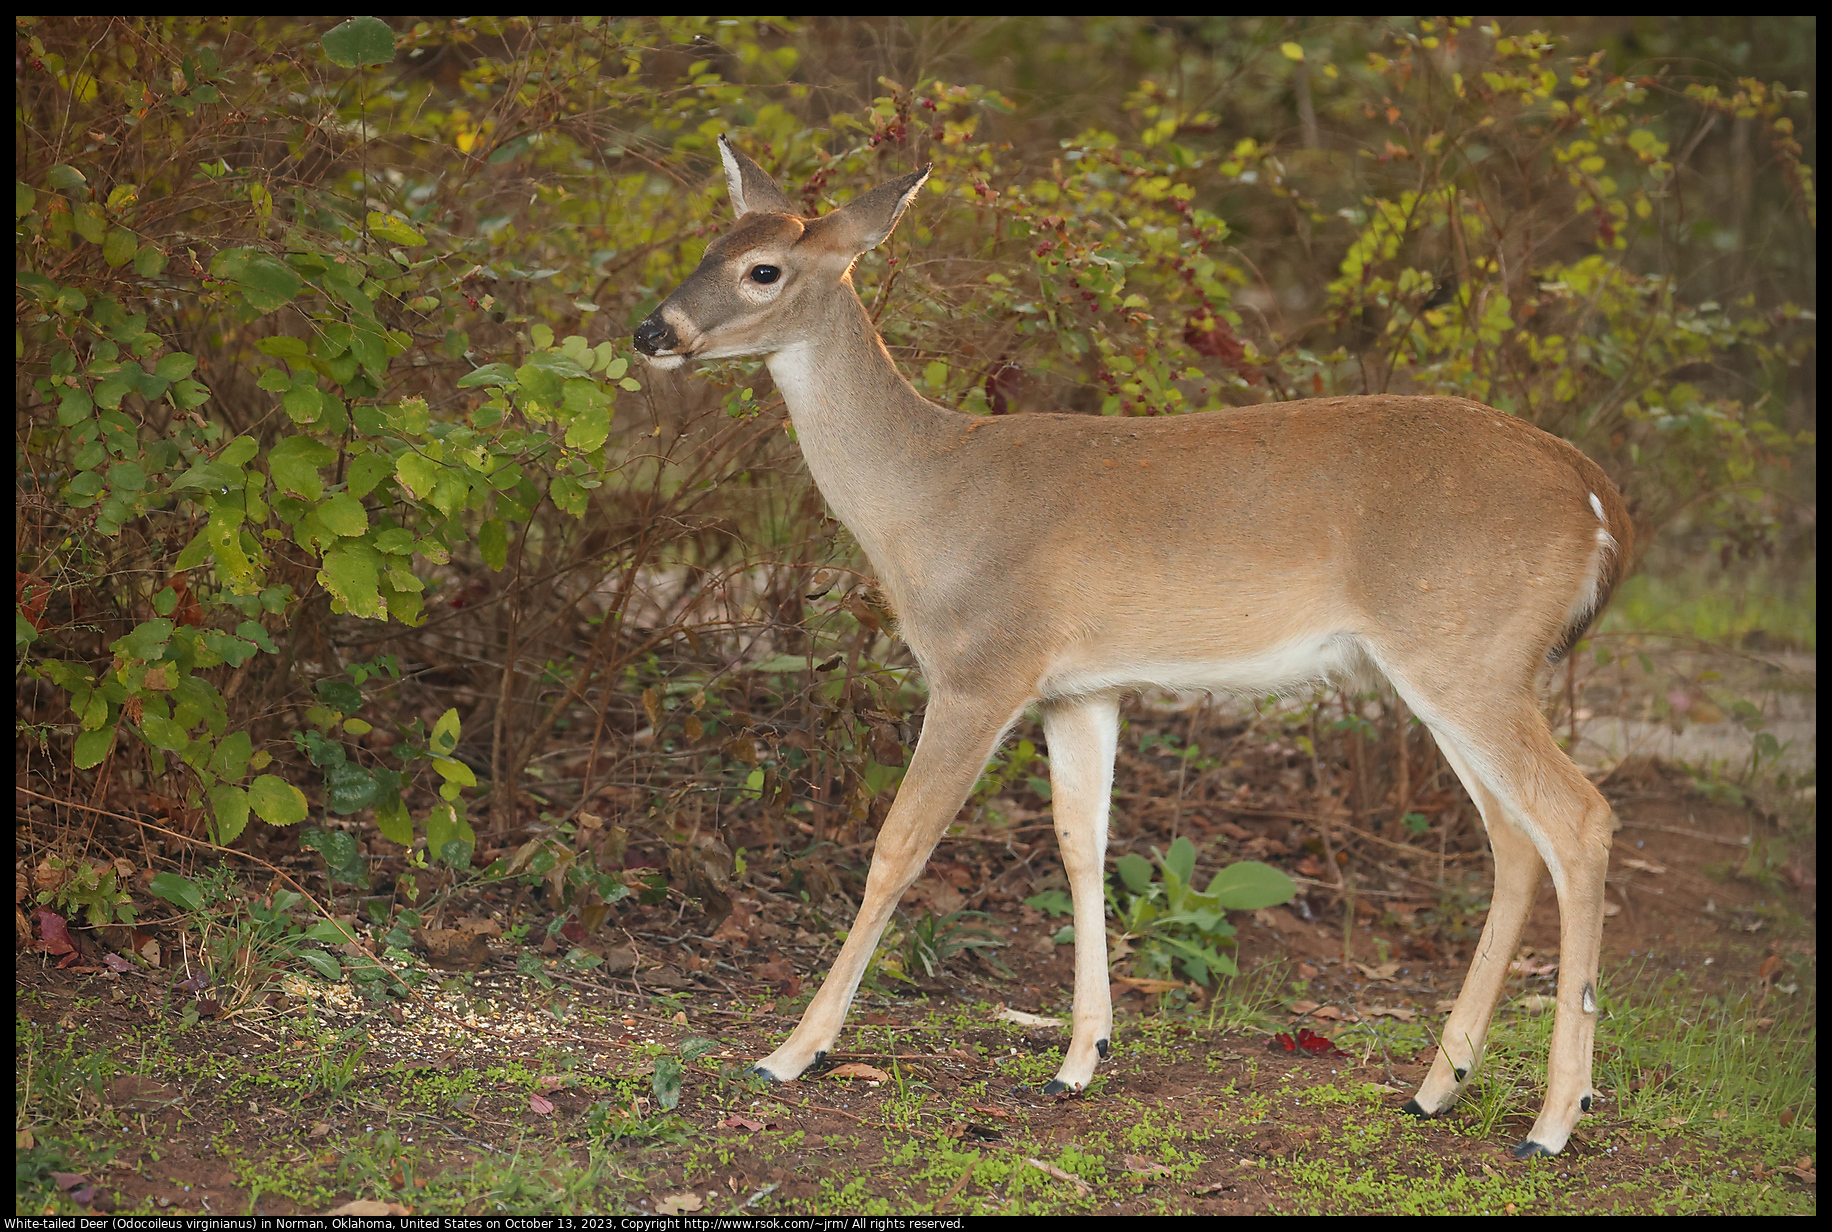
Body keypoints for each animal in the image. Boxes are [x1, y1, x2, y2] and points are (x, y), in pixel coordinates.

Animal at [633, 139, 1634, 1158]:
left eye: (764, 270)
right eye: (710, 245)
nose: (651, 329)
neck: (925, 496)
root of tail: (1595, 493)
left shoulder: (981, 663)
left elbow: (898, 845)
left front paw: (792, 1051)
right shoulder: (1080, 687)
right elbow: (1083, 842)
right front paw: (1080, 1059)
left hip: (1469, 654)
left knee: (1580, 820)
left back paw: (1556, 1117)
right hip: (1454, 666)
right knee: (1514, 839)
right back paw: (1439, 1087)